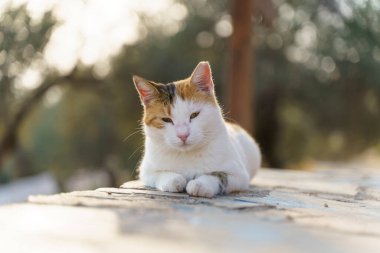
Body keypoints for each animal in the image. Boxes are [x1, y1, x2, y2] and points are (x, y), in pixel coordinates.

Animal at [131, 61, 262, 198]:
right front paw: (174, 180)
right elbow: (159, 174)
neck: (186, 155)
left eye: (194, 115)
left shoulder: (239, 175)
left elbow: (220, 175)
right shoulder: (146, 171)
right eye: (166, 119)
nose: (183, 135)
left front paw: (201, 184)